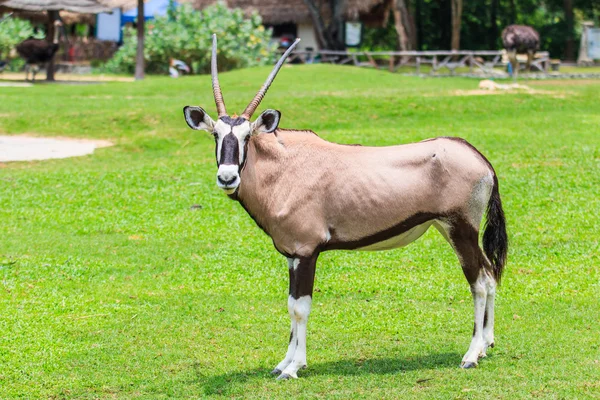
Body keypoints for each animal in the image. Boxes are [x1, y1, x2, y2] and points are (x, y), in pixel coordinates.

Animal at [183, 36, 506, 380]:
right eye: (216, 135)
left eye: (246, 136)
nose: (227, 177)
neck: (285, 168)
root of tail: (480, 159)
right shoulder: (292, 256)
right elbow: (290, 305)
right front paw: (284, 362)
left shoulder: (306, 252)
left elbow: (300, 307)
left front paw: (293, 367)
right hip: (451, 230)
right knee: (488, 274)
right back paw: (486, 345)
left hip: (460, 229)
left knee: (479, 283)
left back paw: (471, 354)